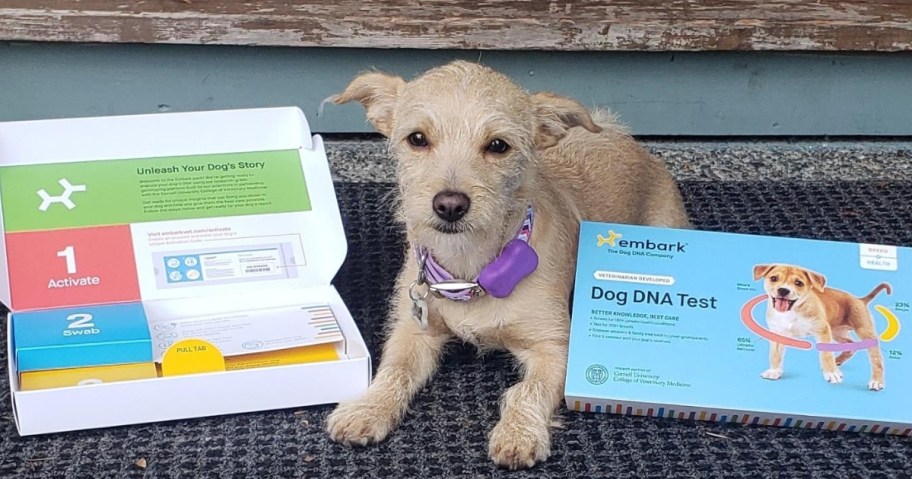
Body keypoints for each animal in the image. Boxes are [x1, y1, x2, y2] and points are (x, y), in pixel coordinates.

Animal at [324, 62, 688, 470]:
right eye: (417, 139)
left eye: (498, 145)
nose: (449, 205)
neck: (469, 267)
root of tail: (620, 136)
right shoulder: (412, 331)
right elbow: (394, 370)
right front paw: (368, 408)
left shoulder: (555, 348)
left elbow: (526, 390)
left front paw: (518, 434)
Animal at [756, 264, 892, 392]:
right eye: (774, 278)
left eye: (798, 283)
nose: (783, 290)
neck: (792, 310)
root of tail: (860, 300)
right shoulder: (777, 334)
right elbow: (775, 355)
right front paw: (774, 371)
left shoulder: (822, 331)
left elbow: (826, 354)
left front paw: (832, 373)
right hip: (837, 332)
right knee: (851, 344)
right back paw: (837, 361)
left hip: (864, 332)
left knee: (876, 358)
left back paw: (876, 381)